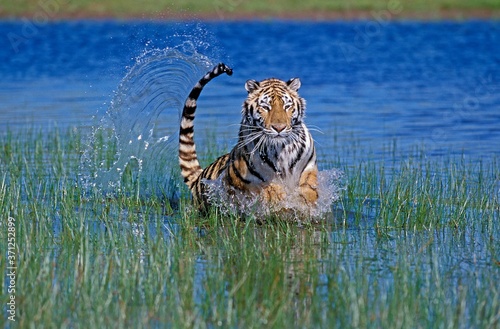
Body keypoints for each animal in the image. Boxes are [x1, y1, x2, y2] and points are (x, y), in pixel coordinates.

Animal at [180, 62, 318, 215]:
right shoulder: (243, 180)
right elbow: (268, 190)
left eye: (287, 106)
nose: (279, 128)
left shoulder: (309, 167)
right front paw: (280, 200)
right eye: (265, 107)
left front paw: (306, 205)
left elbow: (309, 190)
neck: (281, 150)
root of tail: (198, 178)